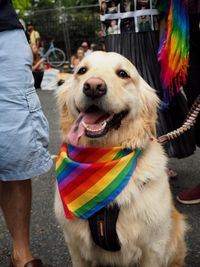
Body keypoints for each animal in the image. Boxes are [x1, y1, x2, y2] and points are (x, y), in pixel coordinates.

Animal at [54, 51, 187, 266]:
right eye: (82, 71)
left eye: (123, 74)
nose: (93, 87)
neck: (102, 156)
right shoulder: (75, 246)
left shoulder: (153, 247)